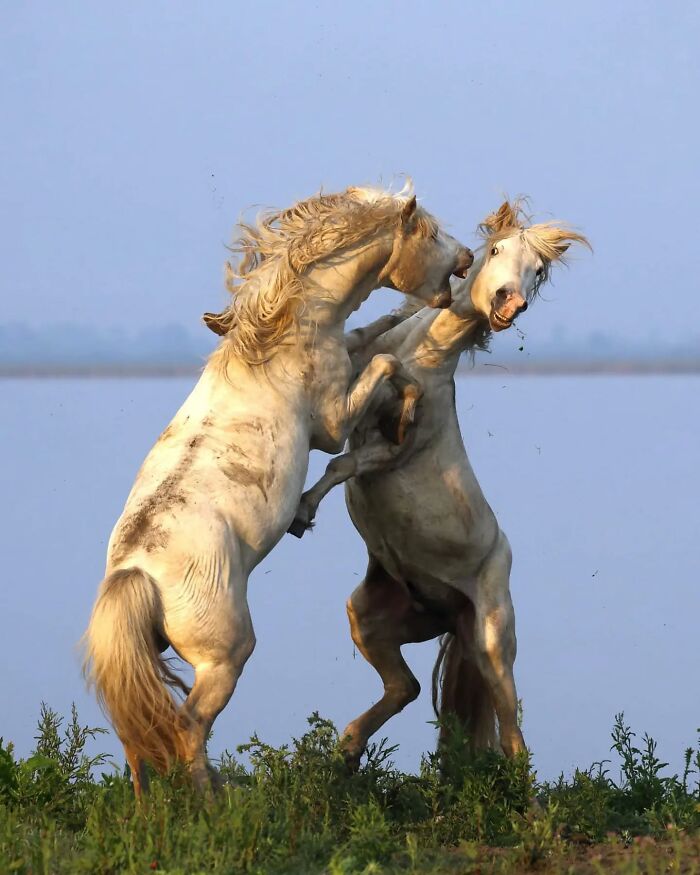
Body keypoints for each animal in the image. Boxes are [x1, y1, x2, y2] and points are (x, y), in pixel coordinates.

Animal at [82, 183, 474, 794]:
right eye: (430, 233)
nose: (467, 258)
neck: (282, 336)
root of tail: (136, 573)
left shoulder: (346, 354)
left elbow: (375, 334)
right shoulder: (332, 421)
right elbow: (386, 368)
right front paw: (403, 420)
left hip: (145, 660)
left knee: (139, 741)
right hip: (225, 656)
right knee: (187, 727)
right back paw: (213, 804)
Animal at [290, 200, 589, 767]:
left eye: (537, 271)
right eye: (496, 250)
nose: (510, 303)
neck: (420, 355)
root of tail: (451, 617)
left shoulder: (389, 452)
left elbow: (340, 466)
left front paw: (300, 514)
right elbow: (336, 456)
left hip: (492, 639)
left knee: (512, 733)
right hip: (370, 617)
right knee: (404, 687)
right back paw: (346, 752)